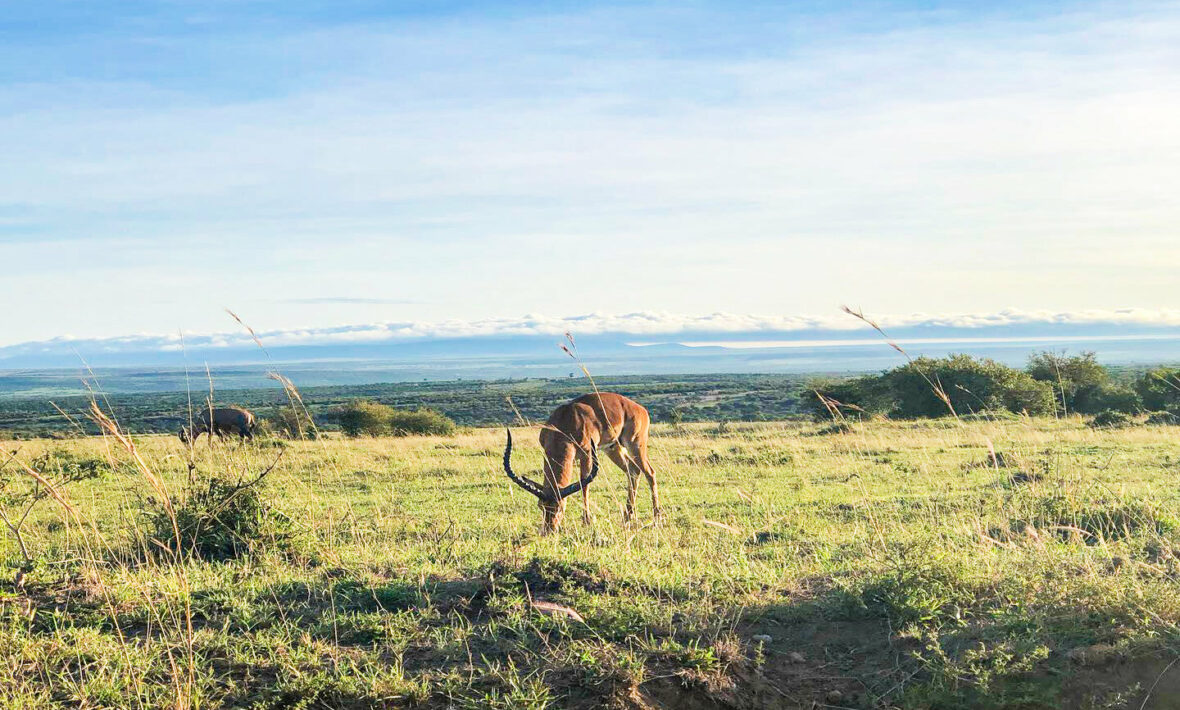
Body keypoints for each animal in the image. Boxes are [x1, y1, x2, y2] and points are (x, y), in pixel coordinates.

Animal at [500, 391, 660, 530]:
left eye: (561, 506)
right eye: (541, 506)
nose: (549, 529)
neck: (566, 420)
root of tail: (640, 409)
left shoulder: (587, 454)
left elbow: (585, 485)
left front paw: (586, 521)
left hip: (635, 445)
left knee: (650, 472)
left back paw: (656, 518)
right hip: (613, 448)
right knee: (633, 471)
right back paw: (627, 518)